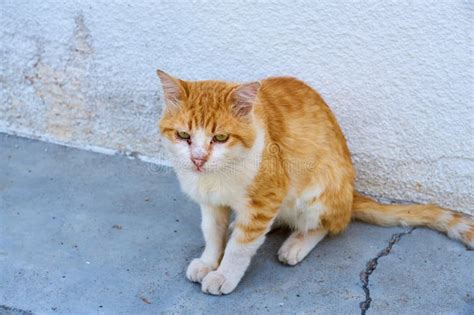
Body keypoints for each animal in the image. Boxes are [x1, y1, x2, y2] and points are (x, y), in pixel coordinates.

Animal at [156, 69, 474, 296]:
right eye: (183, 135)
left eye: (220, 137)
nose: (198, 159)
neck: (218, 176)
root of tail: (351, 194)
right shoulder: (211, 202)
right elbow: (212, 231)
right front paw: (209, 260)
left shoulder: (265, 198)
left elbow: (240, 247)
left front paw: (223, 274)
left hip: (318, 188)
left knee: (328, 224)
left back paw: (297, 243)